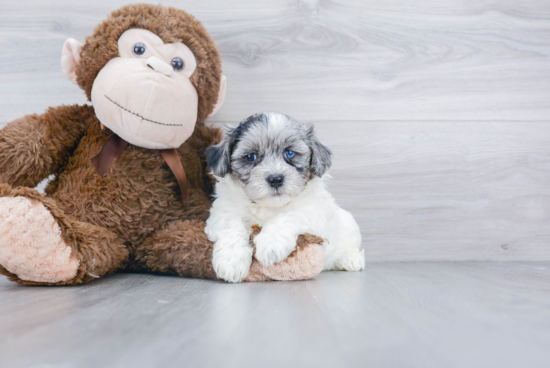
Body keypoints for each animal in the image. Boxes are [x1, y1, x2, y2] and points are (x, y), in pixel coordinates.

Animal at [205, 112, 364, 282]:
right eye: (251, 156)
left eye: (290, 153)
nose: (275, 179)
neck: (269, 206)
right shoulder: (225, 209)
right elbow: (231, 226)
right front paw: (231, 261)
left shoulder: (313, 209)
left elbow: (287, 217)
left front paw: (270, 244)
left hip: (348, 224)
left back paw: (351, 260)